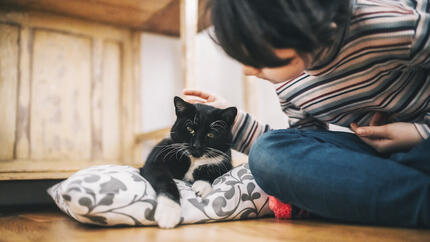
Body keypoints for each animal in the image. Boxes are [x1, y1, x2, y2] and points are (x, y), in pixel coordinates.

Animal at [139, 95, 237, 228]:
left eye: (211, 134)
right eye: (190, 129)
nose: (196, 145)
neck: (194, 159)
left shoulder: (226, 162)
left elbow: (213, 172)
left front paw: (201, 186)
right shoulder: (155, 163)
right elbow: (166, 181)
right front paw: (168, 213)